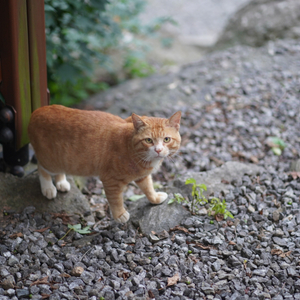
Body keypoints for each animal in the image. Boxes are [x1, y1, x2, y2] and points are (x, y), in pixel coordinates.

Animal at [28, 105, 180, 223]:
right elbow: (116, 199)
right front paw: (119, 215)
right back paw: (48, 187)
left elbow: (148, 188)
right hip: (51, 161)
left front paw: (155, 198)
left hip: (63, 161)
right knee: (41, 167)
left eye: (166, 139)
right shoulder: (111, 181)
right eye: (148, 140)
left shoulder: (142, 176)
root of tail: (38, 110)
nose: (158, 150)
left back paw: (61, 182)